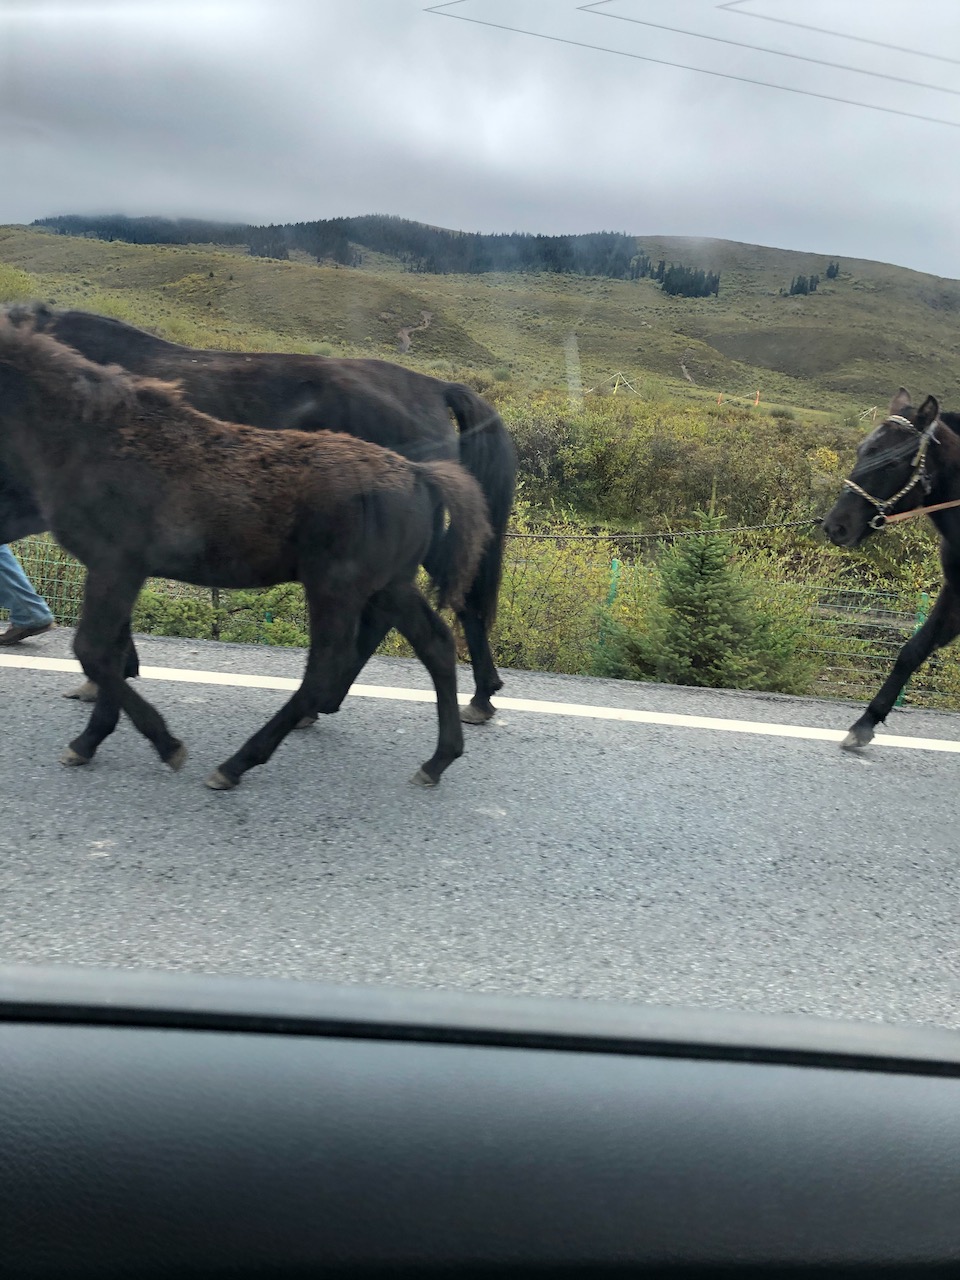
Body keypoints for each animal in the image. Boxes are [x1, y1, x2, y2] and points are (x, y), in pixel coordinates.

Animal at [0, 318, 491, 790]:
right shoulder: (118, 571)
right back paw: (438, 759)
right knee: (436, 646)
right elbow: (112, 656)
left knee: (324, 671)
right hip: (389, 585)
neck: (95, 438)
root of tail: (419, 472)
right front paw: (89, 740)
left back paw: (236, 764)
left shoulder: (115, 565)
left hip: (337, 588)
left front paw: (165, 744)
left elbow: (95, 651)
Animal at [822, 388, 960, 751]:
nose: (835, 526)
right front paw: (865, 721)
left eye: (894, 461)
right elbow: (913, 651)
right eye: (861, 450)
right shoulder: (955, 592)